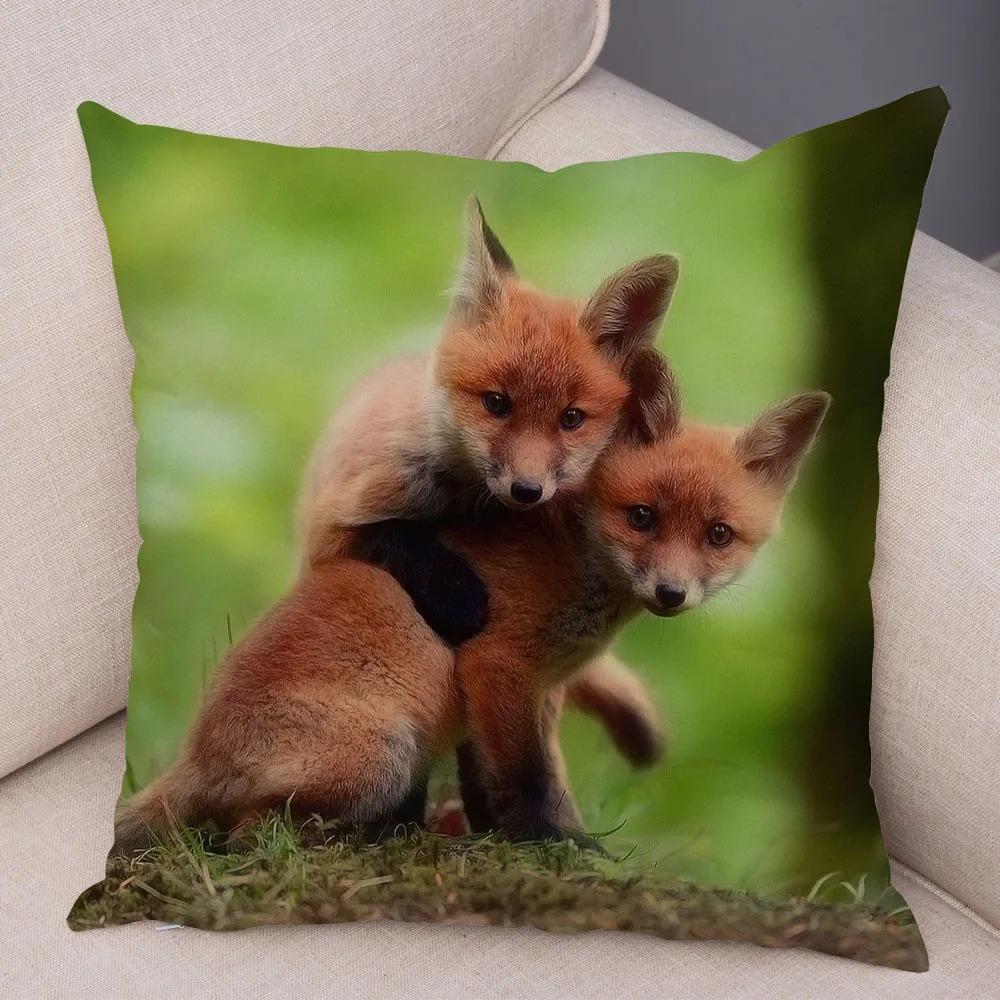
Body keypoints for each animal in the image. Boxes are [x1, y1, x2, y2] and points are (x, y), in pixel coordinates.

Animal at [112, 381, 829, 854]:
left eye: (718, 535)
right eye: (642, 517)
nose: (672, 592)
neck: (573, 558)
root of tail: (198, 751)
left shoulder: (540, 688)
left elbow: (525, 776)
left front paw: (539, 836)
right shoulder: (498, 664)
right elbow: (525, 778)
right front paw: (546, 843)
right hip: (385, 754)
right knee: (241, 834)